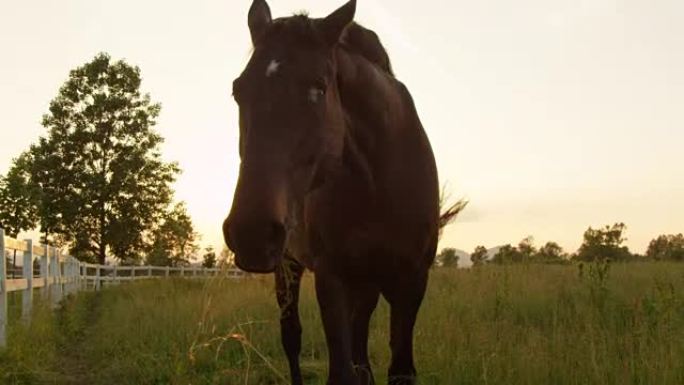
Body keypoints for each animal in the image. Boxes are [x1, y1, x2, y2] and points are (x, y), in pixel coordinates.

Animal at [224, 1, 460, 382]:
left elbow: (397, 369)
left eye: (319, 89)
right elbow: (342, 369)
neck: (378, 184)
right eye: (238, 91)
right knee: (292, 338)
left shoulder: (412, 282)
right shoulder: (332, 279)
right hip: (288, 266)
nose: (251, 232)